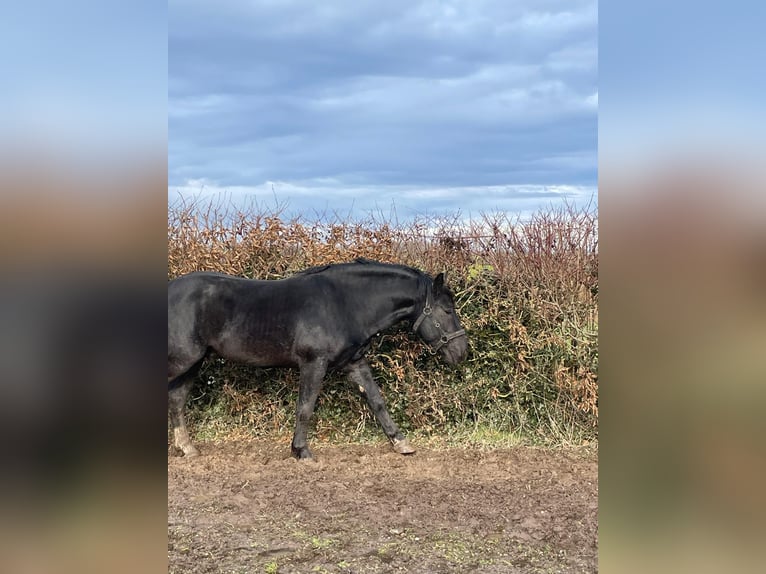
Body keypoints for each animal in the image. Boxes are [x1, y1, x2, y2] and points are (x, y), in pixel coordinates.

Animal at [168, 258, 468, 462]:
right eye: (447, 310)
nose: (461, 351)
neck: (344, 303)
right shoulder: (314, 363)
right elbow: (305, 407)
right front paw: (301, 451)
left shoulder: (354, 362)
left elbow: (376, 400)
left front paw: (401, 442)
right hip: (182, 360)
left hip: (192, 363)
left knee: (177, 400)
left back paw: (188, 448)